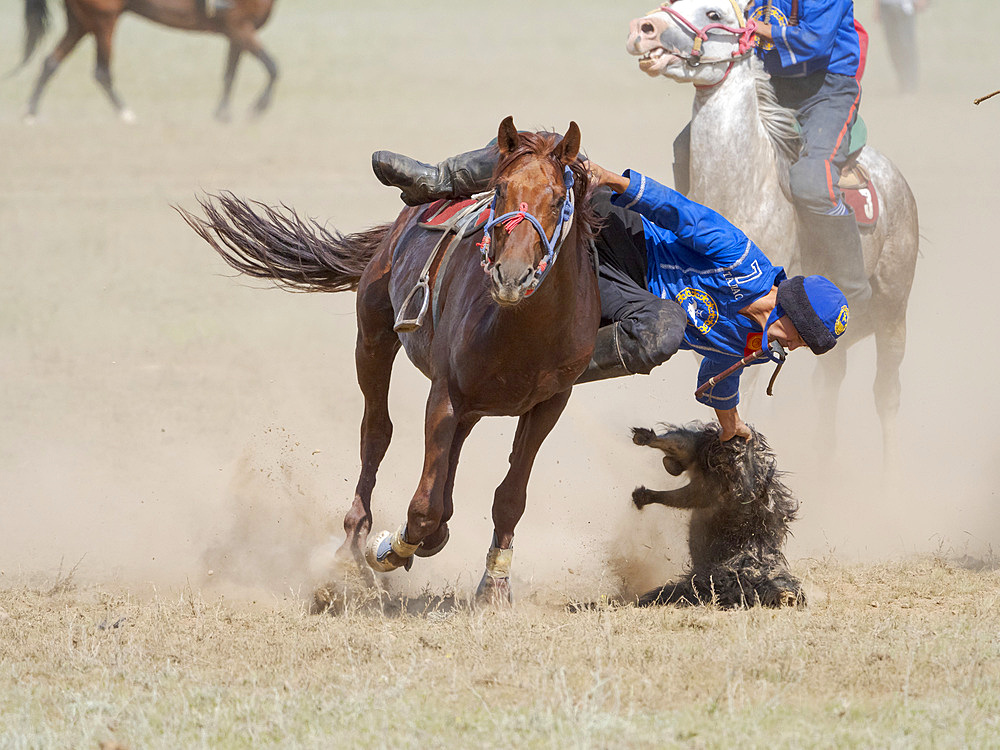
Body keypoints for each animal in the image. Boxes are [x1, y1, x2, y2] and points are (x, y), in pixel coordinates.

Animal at [19, 0, 278, 121]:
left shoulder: (237, 33)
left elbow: (230, 74)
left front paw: (223, 115)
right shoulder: (240, 29)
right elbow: (273, 67)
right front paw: (257, 108)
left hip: (81, 22)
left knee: (51, 62)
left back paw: (31, 113)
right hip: (103, 22)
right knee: (101, 71)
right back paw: (126, 114)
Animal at [180, 117, 600, 608]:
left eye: (556, 199)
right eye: (499, 190)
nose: (510, 276)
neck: (521, 325)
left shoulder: (549, 404)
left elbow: (510, 497)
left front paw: (494, 584)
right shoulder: (445, 394)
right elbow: (422, 507)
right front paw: (389, 549)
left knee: (450, 454)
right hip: (373, 340)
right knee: (377, 433)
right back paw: (353, 548)